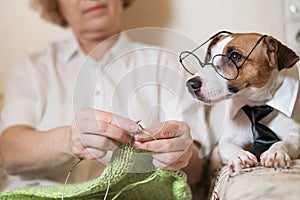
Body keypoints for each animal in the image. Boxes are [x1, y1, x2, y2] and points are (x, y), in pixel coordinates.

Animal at [182, 31, 300, 172]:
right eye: (210, 56)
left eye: (235, 56)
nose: (190, 84)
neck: (256, 104)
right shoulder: (227, 140)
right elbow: (227, 146)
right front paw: (239, 155)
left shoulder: (295, 136)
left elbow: (284, 142)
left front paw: (276, 152)